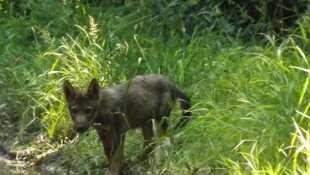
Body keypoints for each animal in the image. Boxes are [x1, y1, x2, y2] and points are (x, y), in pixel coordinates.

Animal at [62, 74, 190, 175]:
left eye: (88, 110)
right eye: (74, 110)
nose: (79, 128)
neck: (102, 110)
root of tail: (170, 81)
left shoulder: (119, 132)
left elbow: (115, 157)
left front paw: (115, 172)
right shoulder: (103, 133)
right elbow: (109, 155)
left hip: (159, 121)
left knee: (162, 142)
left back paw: (157, 163)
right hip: (145, 121)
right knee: (149, 141)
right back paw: (139, 160)